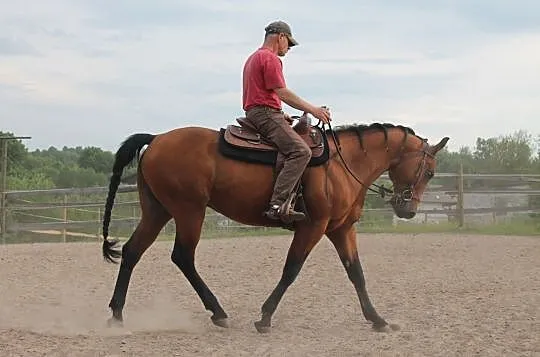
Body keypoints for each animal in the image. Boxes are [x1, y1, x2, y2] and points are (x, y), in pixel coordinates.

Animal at [100, 115, 448, 332]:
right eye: (430, 171)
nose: (408, 210)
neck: (342, 164)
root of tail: (157, 138)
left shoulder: (340, 229)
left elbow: (356, 274)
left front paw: (378, 320)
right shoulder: (313, 226)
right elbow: (291, 269)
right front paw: (265, 317)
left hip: (158, 212)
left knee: (132, 252)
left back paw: (117, 314)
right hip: (189, 212)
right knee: (183, 257)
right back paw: (219, 313)